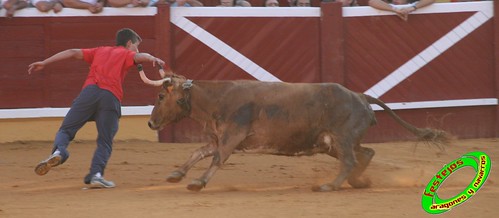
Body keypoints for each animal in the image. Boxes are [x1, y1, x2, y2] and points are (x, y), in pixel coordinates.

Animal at [146, 74, 454, 192]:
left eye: (161, 96)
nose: (151, 123)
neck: (216, 99)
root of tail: (359, 95)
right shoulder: (218, 138)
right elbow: (197, 152)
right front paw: (176, 174)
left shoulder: (231, 137)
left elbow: (217, 159)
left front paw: (197, 183)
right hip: (333, 143)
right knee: (366, 153)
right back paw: (356, 181)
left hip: (341, 138)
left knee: (351, 159)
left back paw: (330, 185)